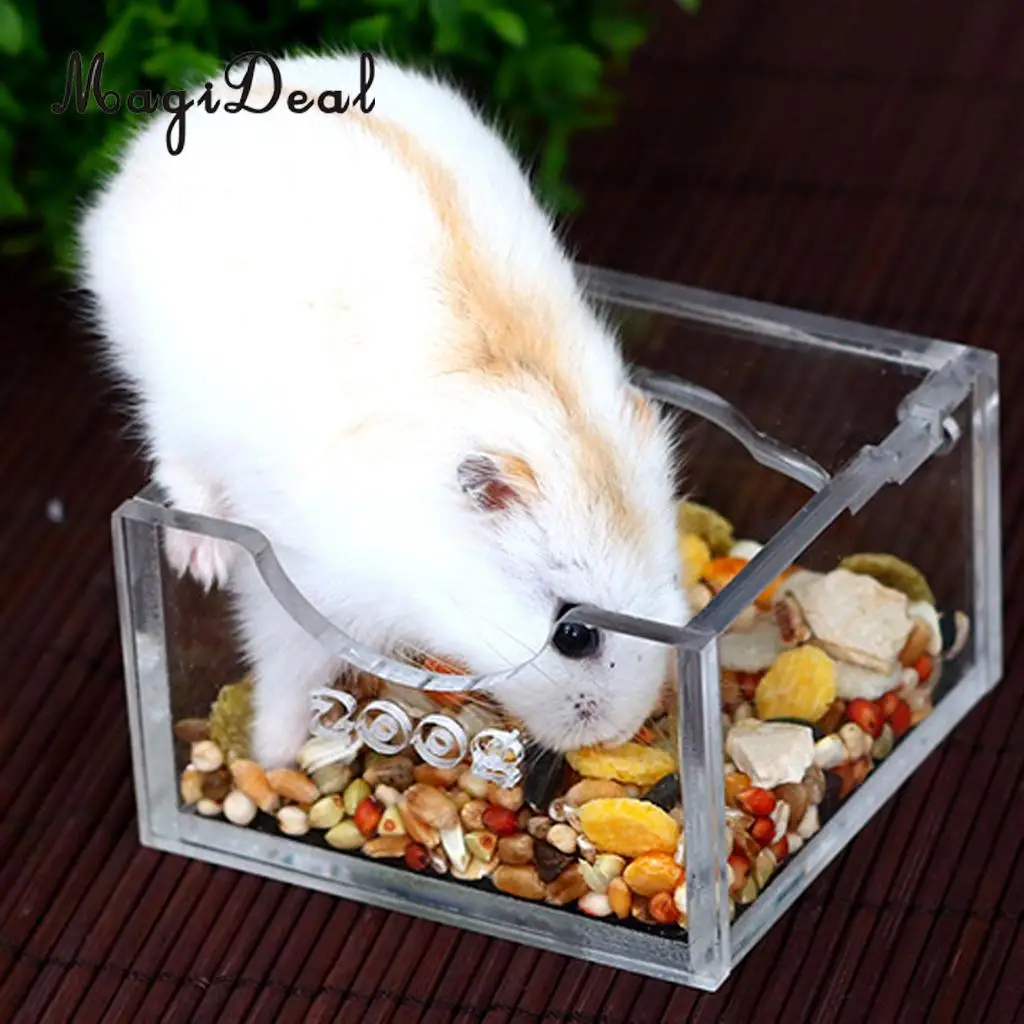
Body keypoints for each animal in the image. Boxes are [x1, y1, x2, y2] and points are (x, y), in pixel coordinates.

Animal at [76, 52, 691, 768]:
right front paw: (273, 757)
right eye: (574, 637)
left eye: (673, 576)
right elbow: (287, 673)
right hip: (159, 383)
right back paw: (199, 558)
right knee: (177, 464)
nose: (619, 733)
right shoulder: (308, 593)